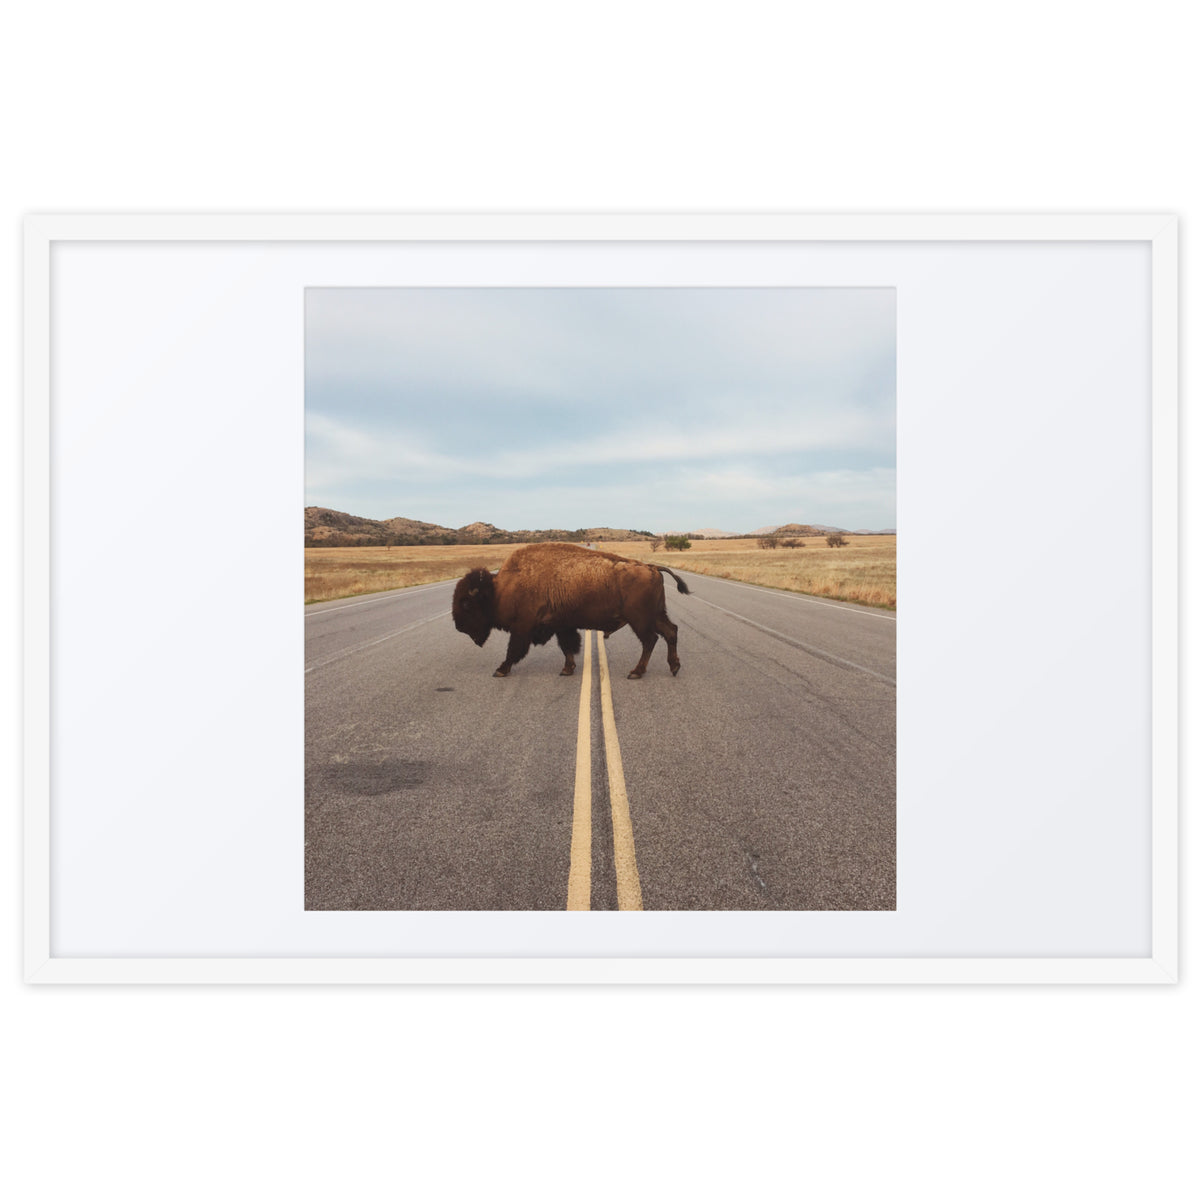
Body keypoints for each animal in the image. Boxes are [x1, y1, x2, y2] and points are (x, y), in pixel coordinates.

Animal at [451, 542, 690, 679]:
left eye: (466, 603)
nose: (459, 627)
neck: (501, 588)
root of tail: (652, 567)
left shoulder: (523, 627)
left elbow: (514, 651)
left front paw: (500, 670)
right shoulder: (561, 626)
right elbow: (567, 647)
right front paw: (567, 669)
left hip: (640, 620)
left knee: (650, 640)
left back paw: (636, 672)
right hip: (656, 615)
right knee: (671, 632)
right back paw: (674, 667)